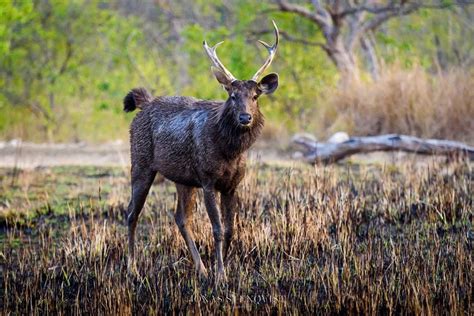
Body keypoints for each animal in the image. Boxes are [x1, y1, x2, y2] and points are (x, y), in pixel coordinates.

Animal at [124, 20, 280, 282]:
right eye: (232, 95)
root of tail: (144, 103)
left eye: (256, 96)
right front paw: (221, 275)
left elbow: (230, 229)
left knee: (180, 218)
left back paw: (201, 268)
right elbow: (216, 229)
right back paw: (132, 268)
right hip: (141, 164)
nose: (245, 117)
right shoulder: (207, 180)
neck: (229, 151)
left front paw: (223, 268)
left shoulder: (231, 185)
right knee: (131, 213)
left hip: (183, 179)